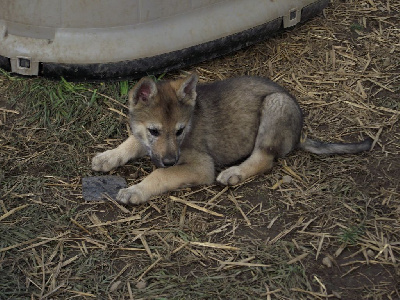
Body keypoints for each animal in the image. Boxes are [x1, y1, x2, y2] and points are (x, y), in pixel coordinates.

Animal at [91, 73, 372, 204]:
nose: (171, 160)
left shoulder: (201, 166)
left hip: (275, 105)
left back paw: (234, 173)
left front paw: (136, 190)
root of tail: (299, 133)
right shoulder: (148, 143)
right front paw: (108, 157)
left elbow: (160, 175)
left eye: (180, 131)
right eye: (154, 131)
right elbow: (131, 141)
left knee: (264, 159)